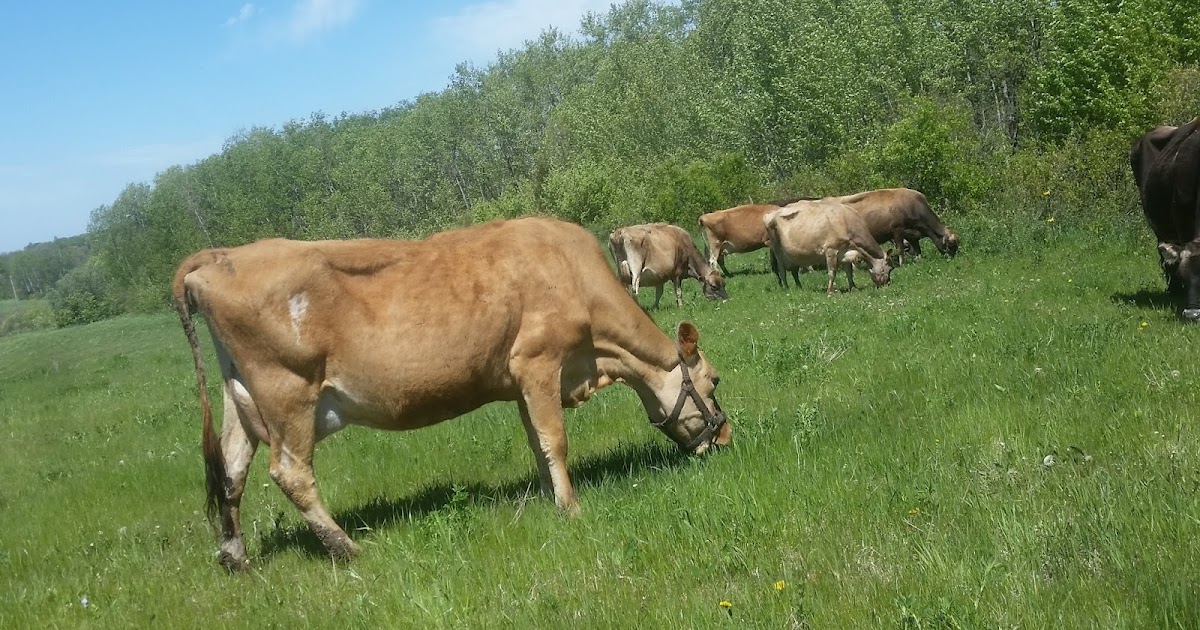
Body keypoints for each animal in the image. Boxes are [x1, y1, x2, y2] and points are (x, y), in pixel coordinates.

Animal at [172, 217, 732, 571]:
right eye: (714, 380)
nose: (725, 436)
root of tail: (220, 256)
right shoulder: (537, 362)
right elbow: (555, 440)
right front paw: (571, 509)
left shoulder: (520, 381)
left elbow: (537, 442)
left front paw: (548, 497)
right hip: (287, 393)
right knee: (290, 472)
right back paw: (346, 549)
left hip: (241, 397)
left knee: (231, 471)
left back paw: (235, 556)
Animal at [763, 200, 892, 293]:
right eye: (890, 268)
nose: (888, 284)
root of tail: (770, 214)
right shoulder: (831, 249)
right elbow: (832, 272)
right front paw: (830, 291)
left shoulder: (845, 252)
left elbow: (849, 271)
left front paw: (853, 287)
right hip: (777, 249)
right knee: (781, 269)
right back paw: (786, 288)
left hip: (792, 255)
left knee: (794, 271)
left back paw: (799, 287)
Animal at [827, 188, 959, 265]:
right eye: (951, 244)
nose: (953, 257)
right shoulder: (898, 230)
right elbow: (900, 248)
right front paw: (902, 264)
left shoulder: (912, 234)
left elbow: (917, 248)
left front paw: (919, 260)